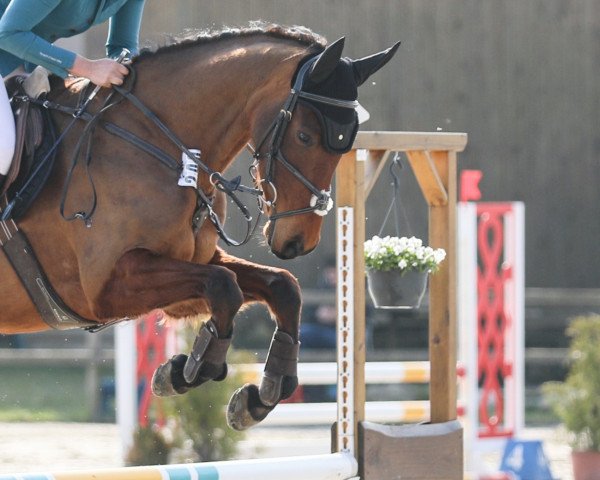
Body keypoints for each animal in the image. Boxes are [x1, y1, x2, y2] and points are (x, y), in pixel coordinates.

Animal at [0, 23, 398, 432]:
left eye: (346, 145)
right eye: (304, 136)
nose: (298, 242)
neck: (158, 145)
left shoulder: (191, 272)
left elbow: (280, 286)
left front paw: (262, 394)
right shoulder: (104, 289)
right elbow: (224, 287)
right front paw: (185, 372)